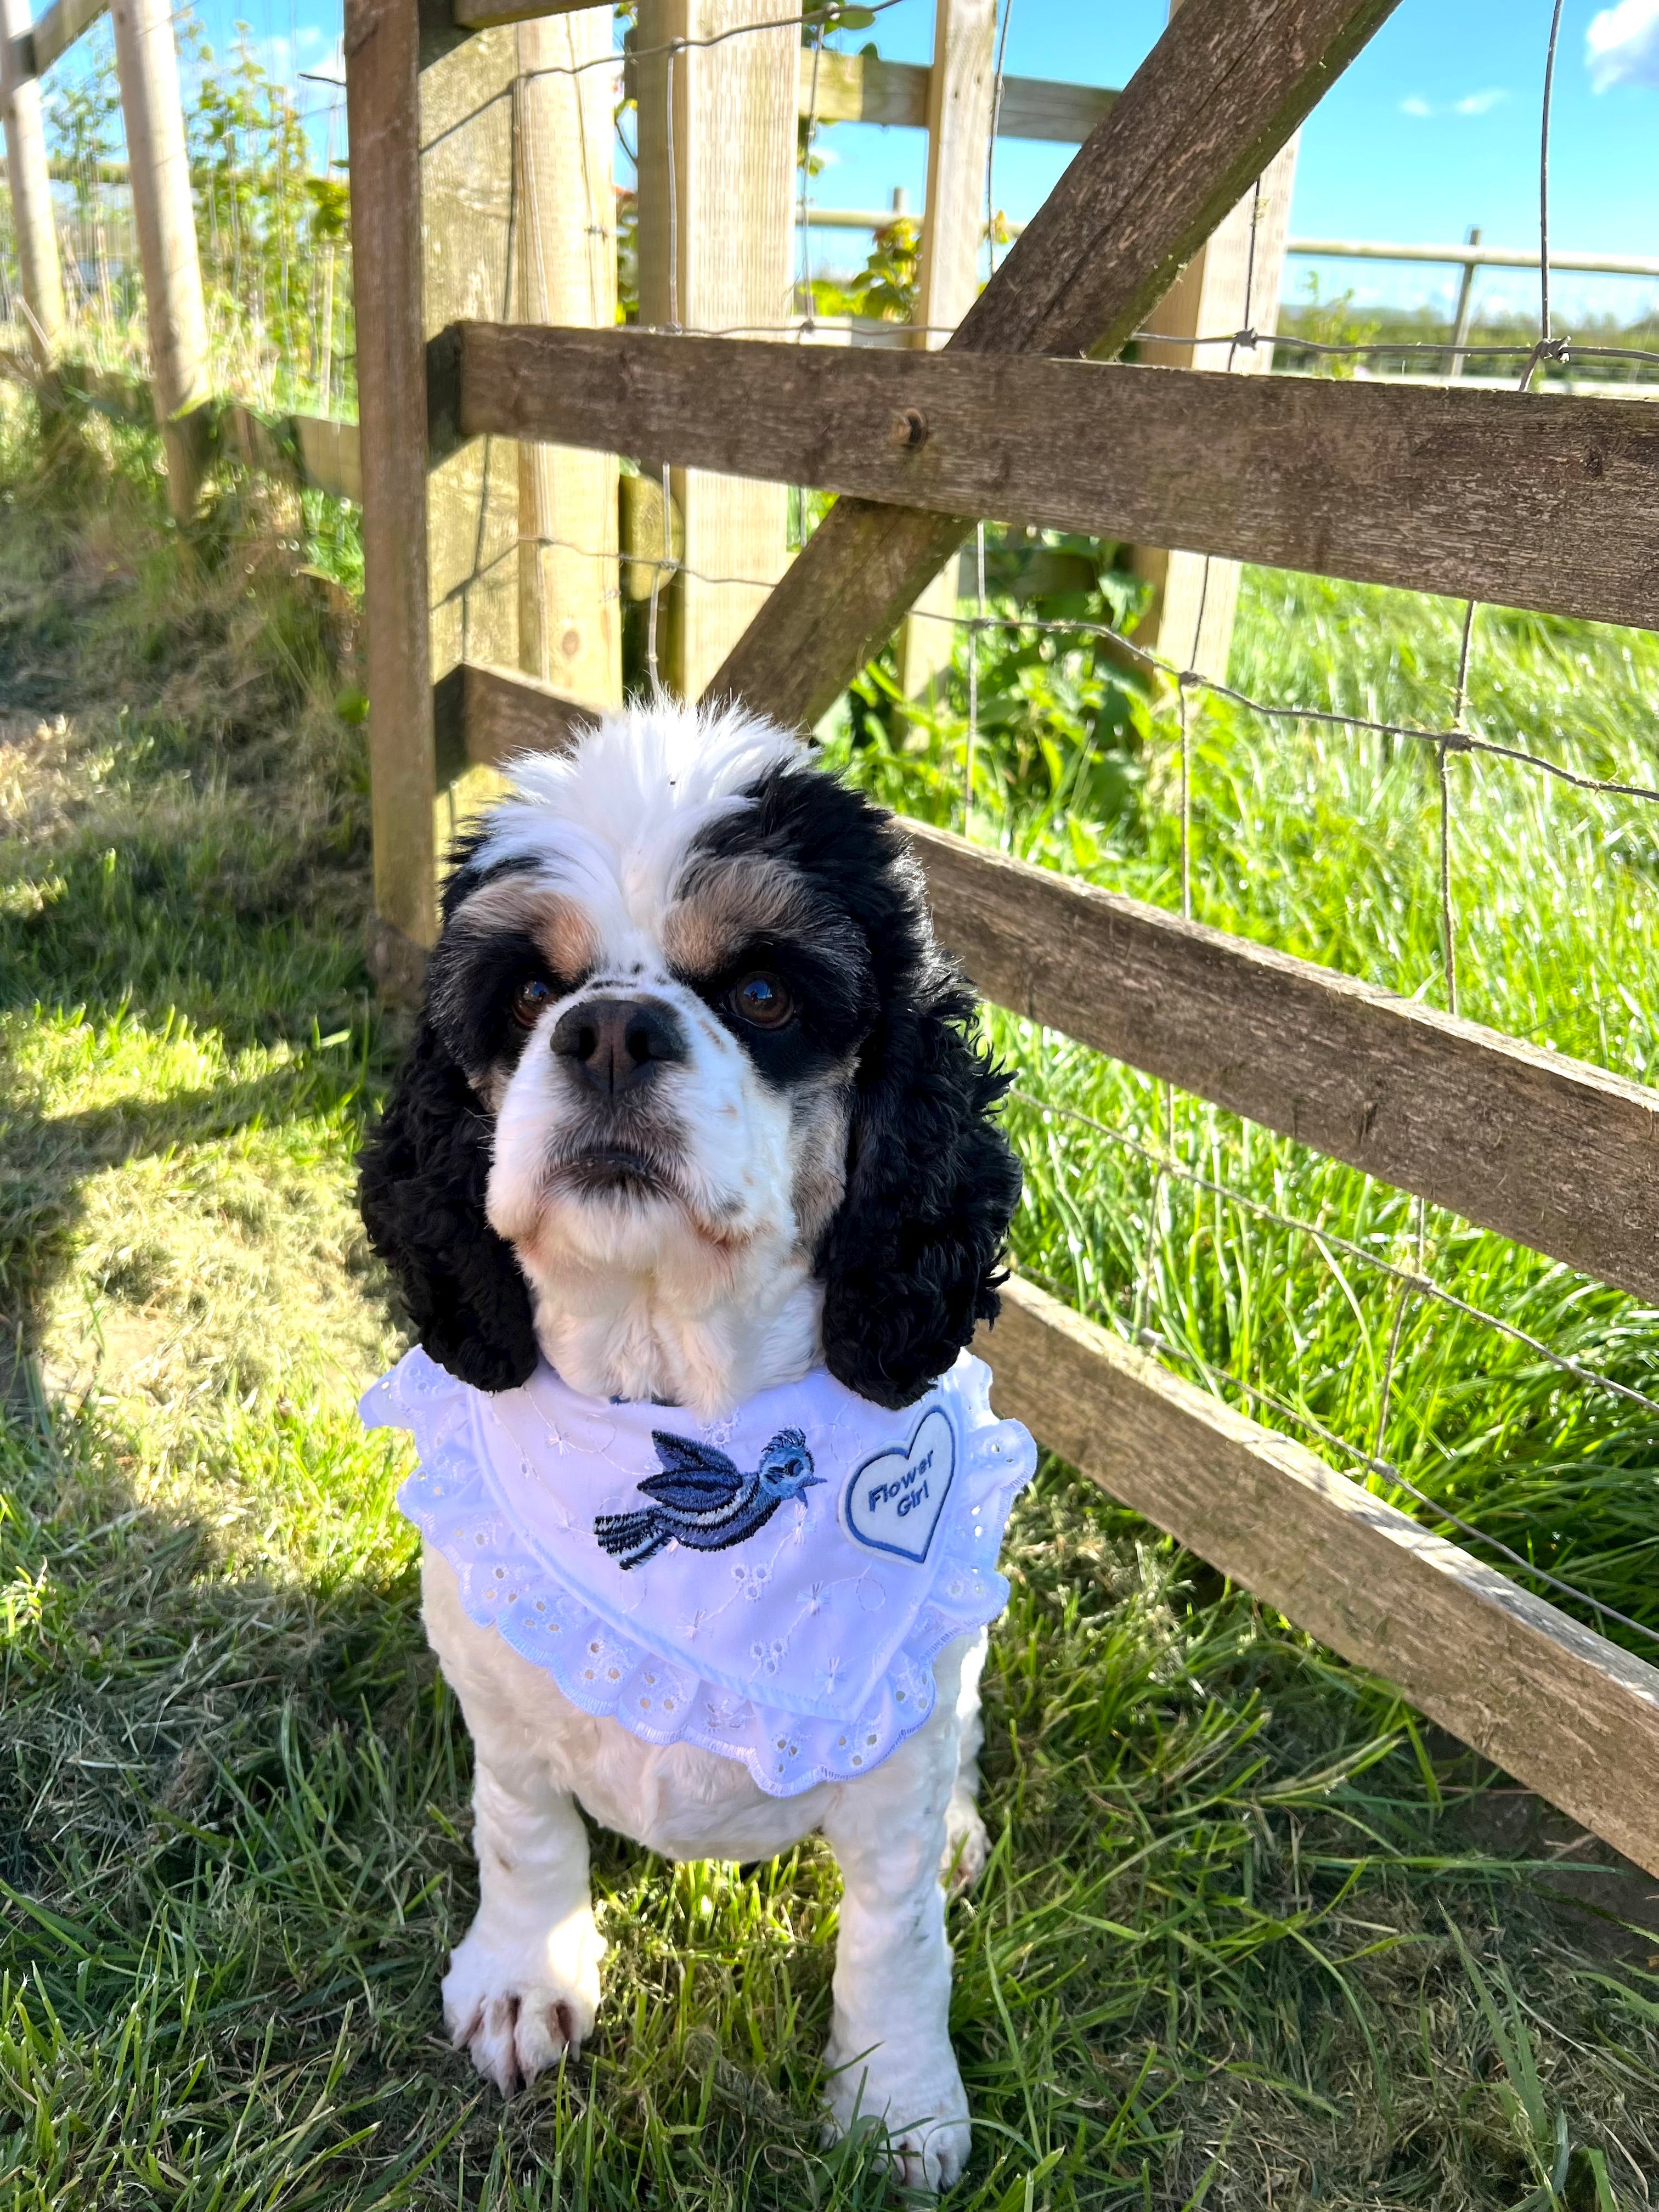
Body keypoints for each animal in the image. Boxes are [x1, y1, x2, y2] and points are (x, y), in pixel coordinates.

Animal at [360, 699, 1026, 2185]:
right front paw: (525, 1978)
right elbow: (520, 1829)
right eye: (529, 997)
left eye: (766, 994)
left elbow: (896, 1930)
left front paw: (898, 2100)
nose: (608, 1029)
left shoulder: (891, 1760)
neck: (675, 1395)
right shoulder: (494, 1685)